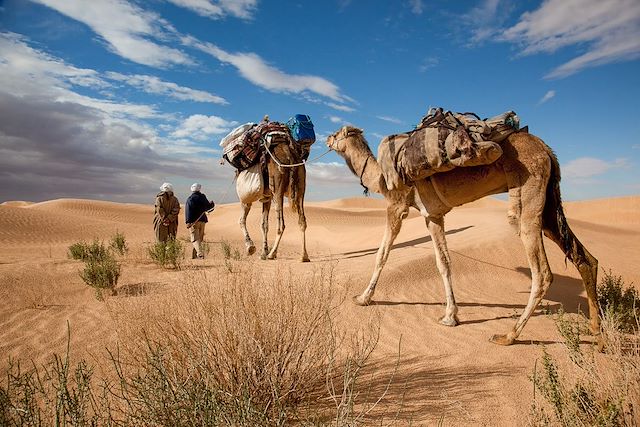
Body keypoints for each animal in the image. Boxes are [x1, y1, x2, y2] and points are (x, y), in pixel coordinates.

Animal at [326, 125, 600, 345]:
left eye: (337, 133)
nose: (326, 138)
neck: (381, 177)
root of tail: (547, 150)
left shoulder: (397, 206)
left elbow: (382, 254)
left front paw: (363, 298)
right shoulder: (432, 215)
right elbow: (444, 262)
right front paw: (451, 315)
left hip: (529, 193)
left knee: (542, 272)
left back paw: (507, 336)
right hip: (549, 207)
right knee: (586, 259)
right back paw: (597, 335)